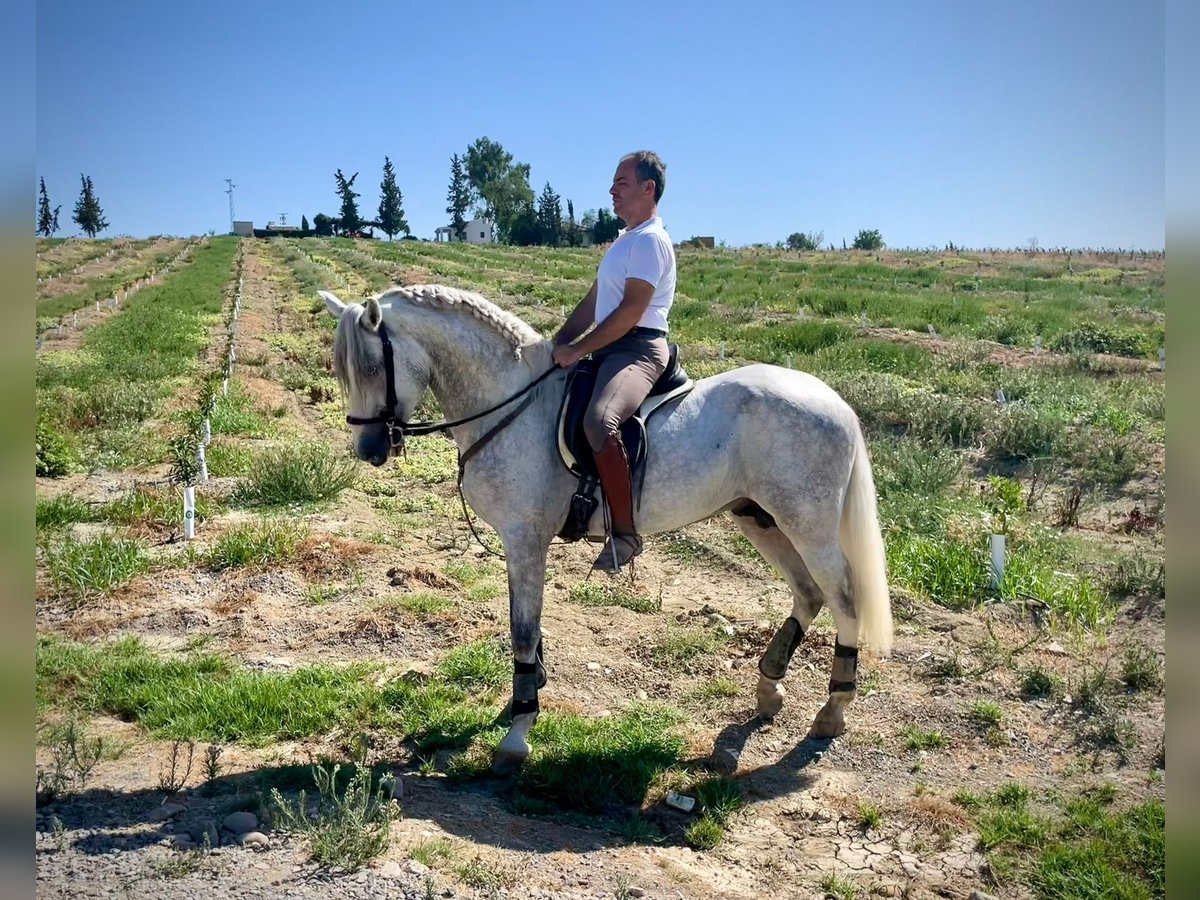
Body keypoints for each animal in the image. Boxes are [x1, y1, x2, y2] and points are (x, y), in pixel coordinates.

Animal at [319, 285, 892, 772]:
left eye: (371, 366)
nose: (368, 450)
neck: (513, 402)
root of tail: (835, 401)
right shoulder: (522, 543)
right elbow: (527, 627)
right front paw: (529, 693)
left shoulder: (525, 539)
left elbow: (522, 629)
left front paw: (519, 730)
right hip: (758, 517)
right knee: (808, 593)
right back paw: (769, 690)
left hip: (808, 525)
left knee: (844, 598)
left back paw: (833, 711)